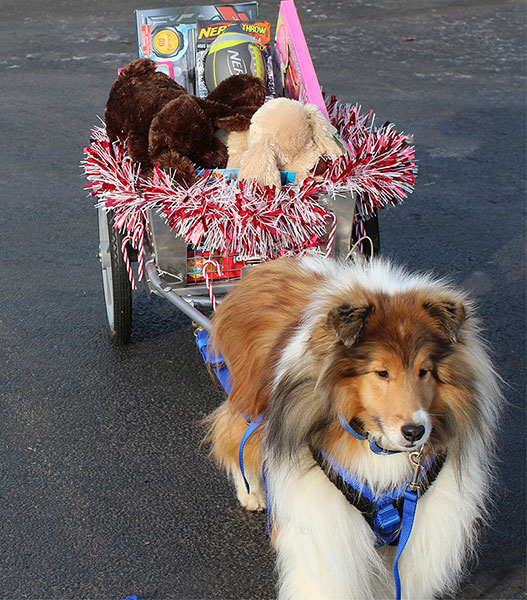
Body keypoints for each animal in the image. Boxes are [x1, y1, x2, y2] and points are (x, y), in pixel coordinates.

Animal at [203, 255, 504, 596]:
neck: (377, 446)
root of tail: (268, 265)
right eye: (381, 372)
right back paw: (251, 492)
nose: (414, 432)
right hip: (250, 406)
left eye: (424, 370)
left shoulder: (415, 532)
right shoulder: (327, 527)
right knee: (233, 437)